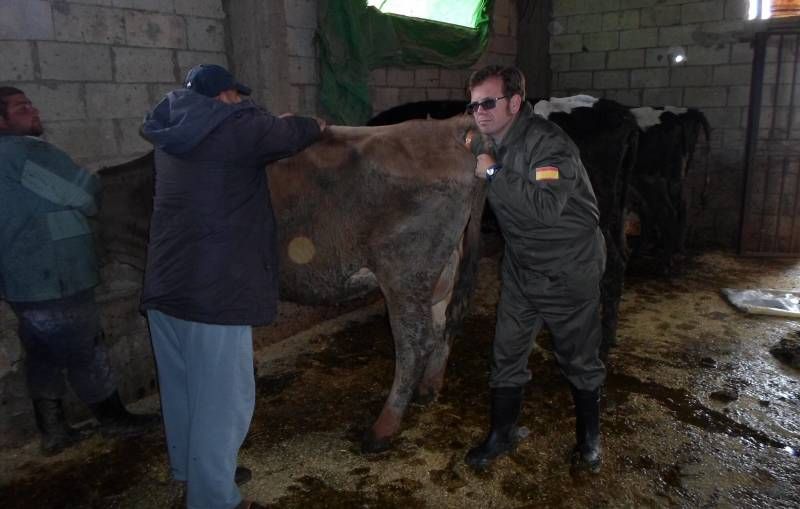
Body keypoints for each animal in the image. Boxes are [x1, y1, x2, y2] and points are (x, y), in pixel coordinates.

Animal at [100, 116, 488, 452]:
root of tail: (446, 127)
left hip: (404, 272)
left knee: (414, 344)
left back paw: (382, 430)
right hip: (440, 273)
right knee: (443, 325)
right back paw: (428, 390)